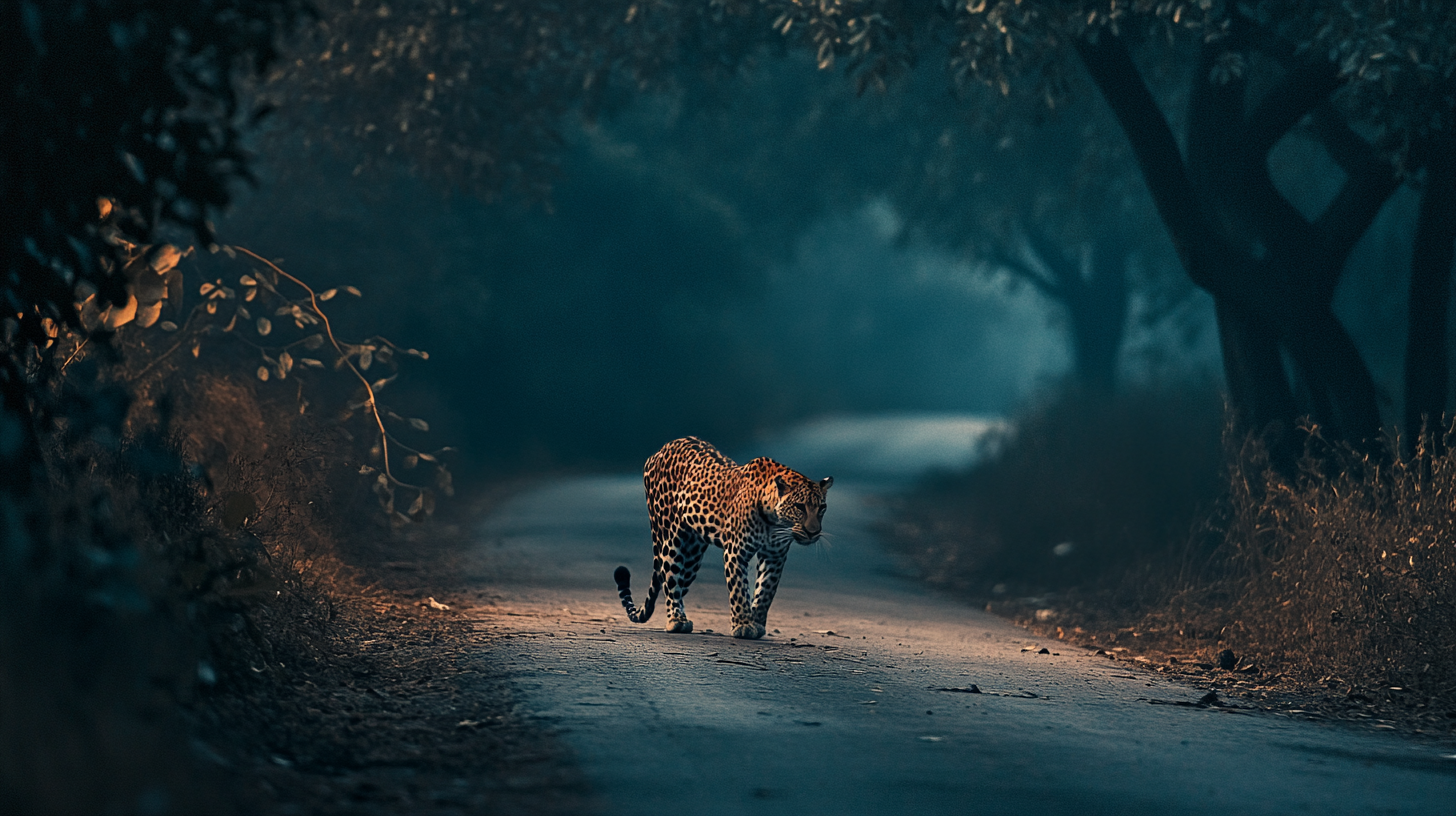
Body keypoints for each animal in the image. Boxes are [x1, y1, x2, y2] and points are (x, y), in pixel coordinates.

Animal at [611, 437, 832, 641]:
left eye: (822, 508)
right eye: (799, 507)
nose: (813, 532)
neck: (774, 520)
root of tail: (661, 450)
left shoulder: (775, 555)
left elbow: (766, 591)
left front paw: (757, 621)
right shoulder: (736, 551)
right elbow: (739, 589)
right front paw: (744, 625)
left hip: (692, 556)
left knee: (675, 581)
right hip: (670, 539)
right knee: (670, 578)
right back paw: (677, 620)